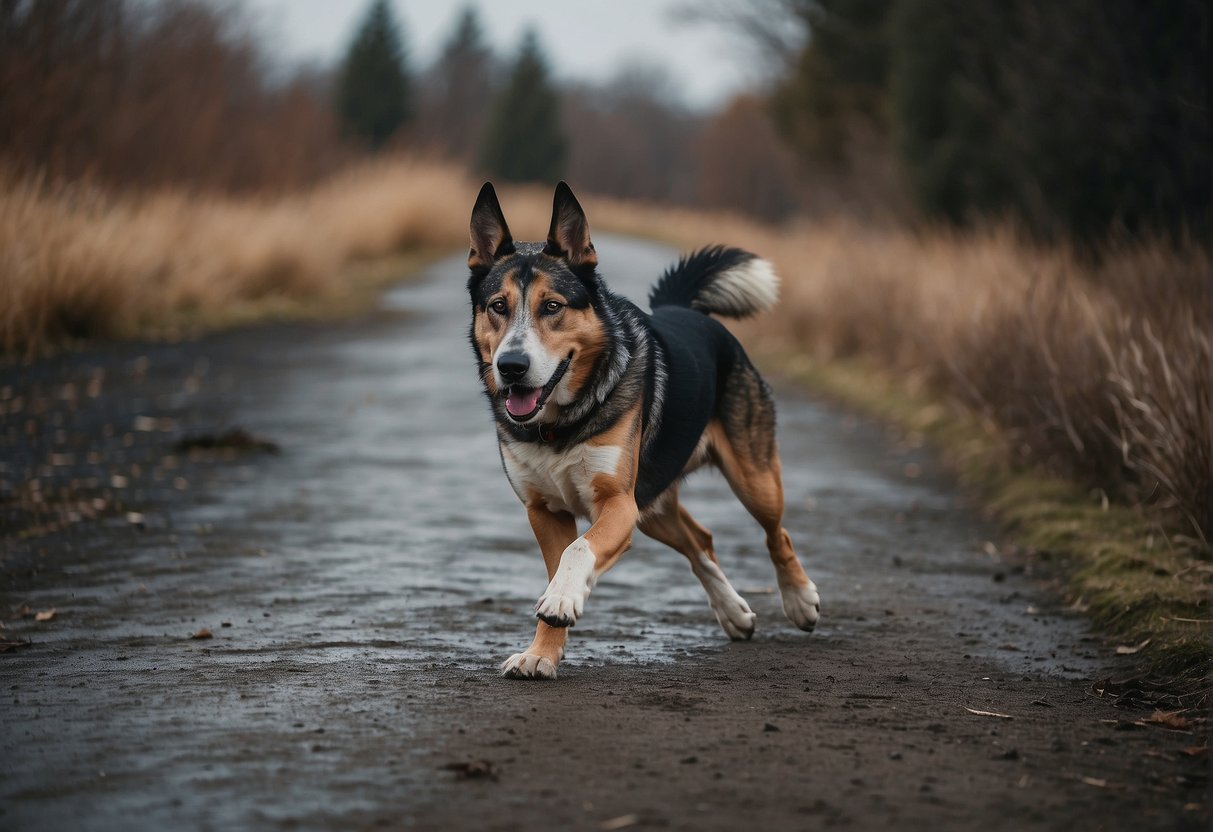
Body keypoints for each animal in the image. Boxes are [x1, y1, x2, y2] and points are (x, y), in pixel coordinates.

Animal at [465, 180, 824, 679]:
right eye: (498, 306)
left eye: (552, 306)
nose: (511, 367)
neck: (561, 423)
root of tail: (684, 309)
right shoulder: (545, 510)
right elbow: (560, 562)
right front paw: (542, 652)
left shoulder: (617, 503)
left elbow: (578, 551)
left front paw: (560, 600)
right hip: (651, 503)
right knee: (700, 540)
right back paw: (733, 612)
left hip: (751, 480)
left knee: (777, 533)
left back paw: (799, 600)